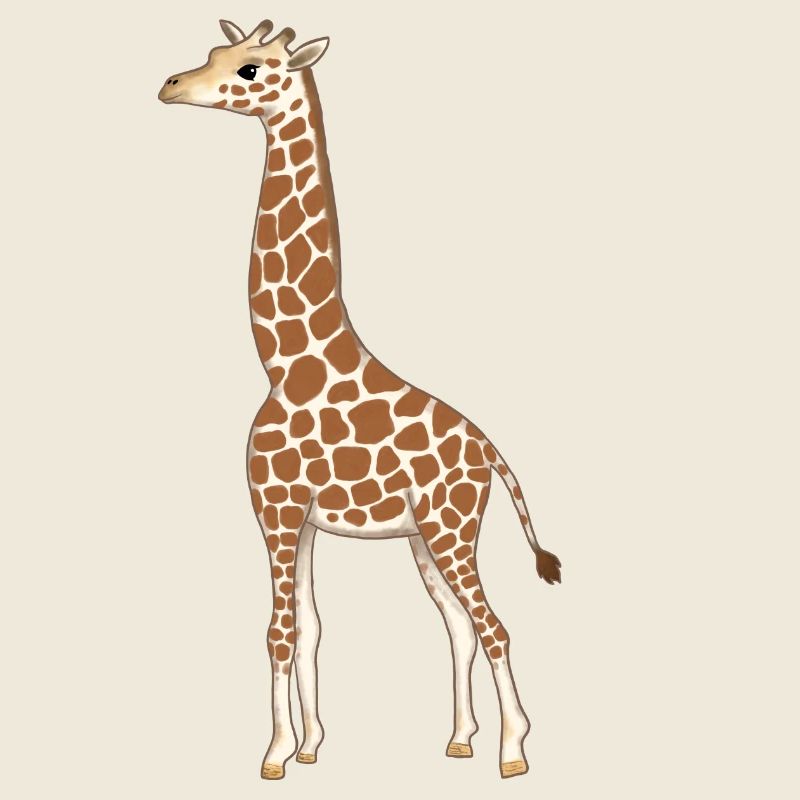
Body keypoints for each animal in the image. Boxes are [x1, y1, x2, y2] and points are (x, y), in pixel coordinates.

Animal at [159, 18, 562, 781]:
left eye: (251, 69)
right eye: (216, 54)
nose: (169, 85)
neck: (285, 361)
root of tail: (490, 452)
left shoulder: (276, 505)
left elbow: (280, 630)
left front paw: (275, 755)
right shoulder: (302, 518)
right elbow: (311, 627)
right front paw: (312, 746)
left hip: (450, 526)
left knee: (493, 623)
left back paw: (513, 752)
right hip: (426, 537)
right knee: (460, 624)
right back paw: (459, 740)